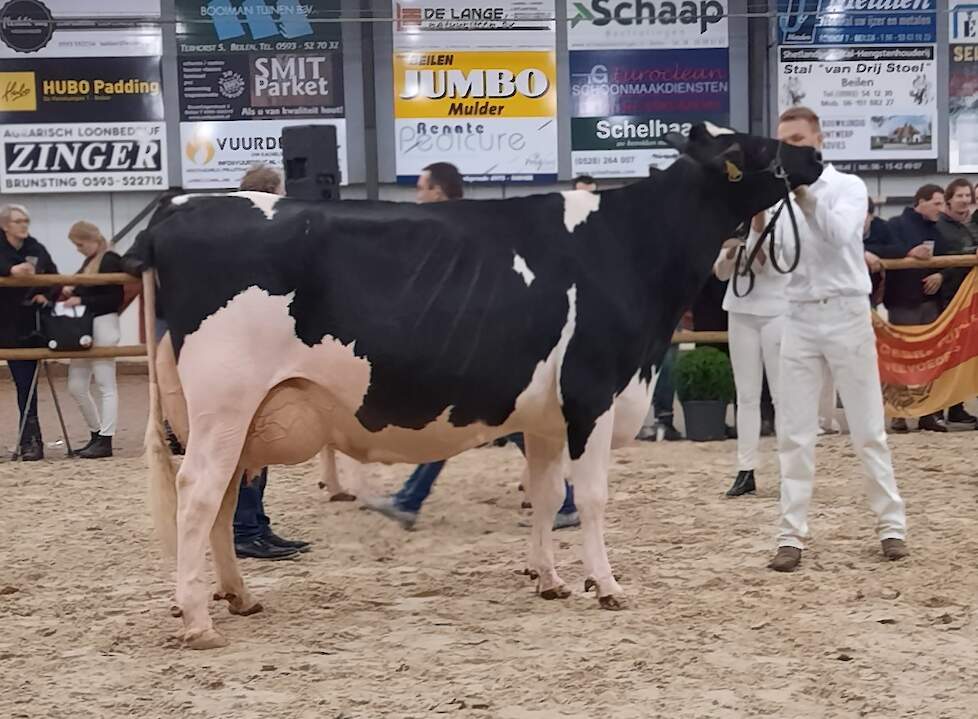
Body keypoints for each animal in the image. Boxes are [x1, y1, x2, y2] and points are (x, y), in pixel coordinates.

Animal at [126, 122, 820, 648]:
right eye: (757, 146)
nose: (813, 156)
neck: (628, 247)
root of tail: (179, 208)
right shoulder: (593, 393)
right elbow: (593, 497)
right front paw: (606, 585)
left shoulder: (545, 416)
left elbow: (546, 495)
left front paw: (549, 579)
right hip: (224, 404)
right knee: (198, 494)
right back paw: (198, 620)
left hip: (232, 417)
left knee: (219, 499)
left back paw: (238, 596)